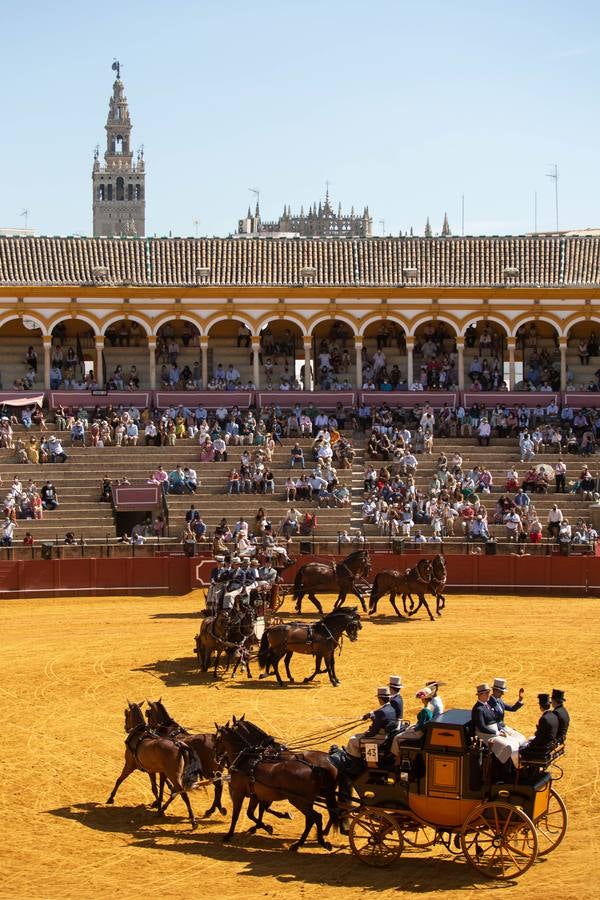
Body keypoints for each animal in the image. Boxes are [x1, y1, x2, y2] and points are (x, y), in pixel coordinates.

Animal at [106, 700, 203, 828]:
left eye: (126, 713)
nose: (126, 727)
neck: (139, 734)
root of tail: (179, 745)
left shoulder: (129, 765)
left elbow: (120, 779)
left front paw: (111, 797)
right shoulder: (153, 771)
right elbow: (157, 788)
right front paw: (158, 805)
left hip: (174, 775)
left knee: (183, 794)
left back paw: (193, 820)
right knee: (177, 791)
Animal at [214, 716, 338, 852]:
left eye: (217, 738)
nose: (216, 756)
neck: (246, 759)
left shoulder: (238, 793)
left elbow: (237, 815)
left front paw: (229, 835)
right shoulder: (256, 795)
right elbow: (255, 812)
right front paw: (265, 826)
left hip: (300, 801)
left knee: (316, 817)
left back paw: (315, 841)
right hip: (312, 799)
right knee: (323, 815)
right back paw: (313, 838)